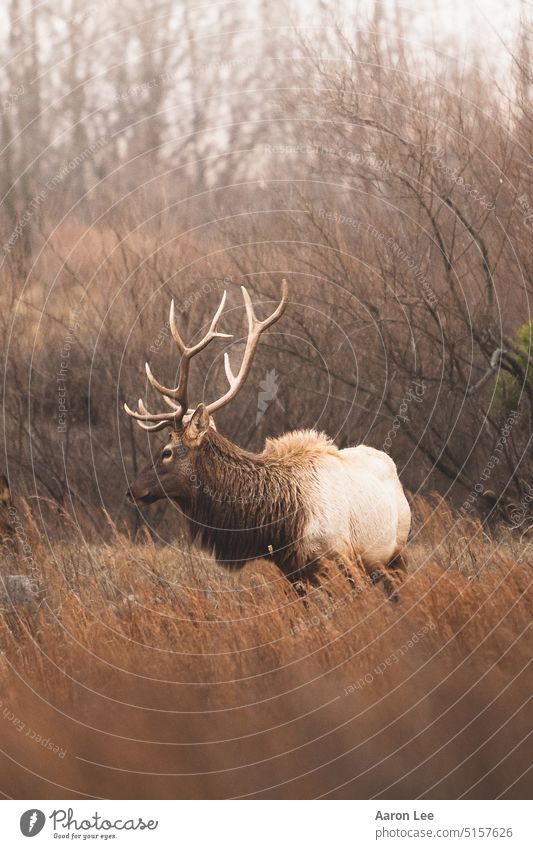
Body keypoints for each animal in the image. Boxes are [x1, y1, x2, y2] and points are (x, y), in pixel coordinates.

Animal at [125, 284, 412, 596]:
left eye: (166, 451)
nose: (132, 490)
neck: (285, 521)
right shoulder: (294, 571)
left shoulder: (343, 555)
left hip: (396, 552)